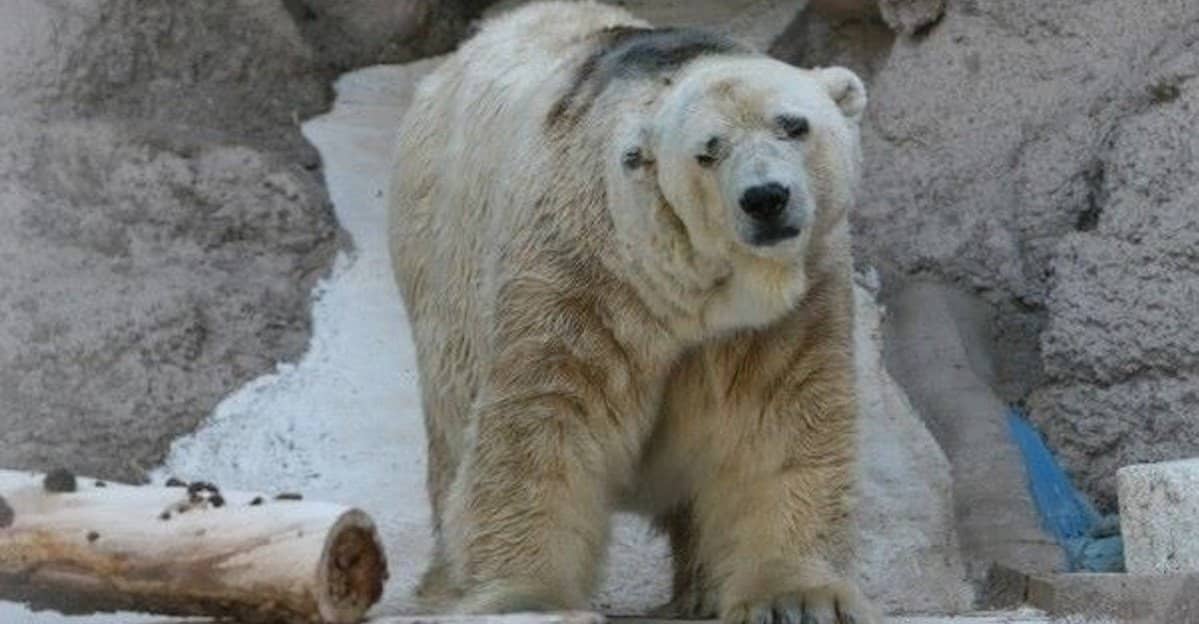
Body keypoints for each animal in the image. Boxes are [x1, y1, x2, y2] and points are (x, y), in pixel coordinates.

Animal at [387, 2, 876, 623]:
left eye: (794, 125)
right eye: (708, 151)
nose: (766, 198)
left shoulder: (794, 298)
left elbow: (781, 416)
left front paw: (797, 597)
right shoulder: (582, 270)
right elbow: (545, 417)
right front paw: (529, 600)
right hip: (441, 264)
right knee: (453, 426)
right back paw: (445, 582)